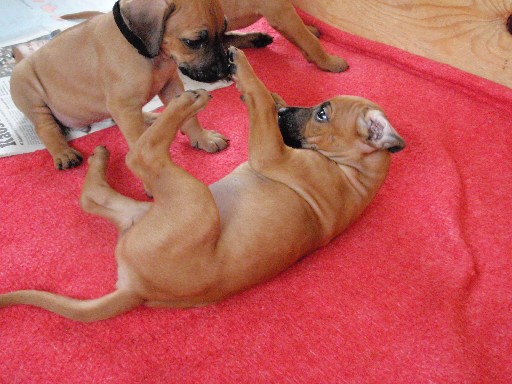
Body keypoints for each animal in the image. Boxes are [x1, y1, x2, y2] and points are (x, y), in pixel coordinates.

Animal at [0, 49, 404, 322]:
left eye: (322, 114)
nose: (286, 113)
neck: (353, 172)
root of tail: (136, 289)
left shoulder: (270, 154)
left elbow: (259, 99)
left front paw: (245, 71)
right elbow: (263, 100)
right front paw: (267, 95)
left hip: (191, 200)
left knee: (142, 156)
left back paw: (186, 101)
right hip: (149, 210)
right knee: (92, 196)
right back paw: (102, 155)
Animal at [9, 0, 230, 170]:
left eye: (224, 30)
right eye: (193, 42)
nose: (224, 72)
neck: (144, 51)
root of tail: (20, 61)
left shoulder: (171, 86)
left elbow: (191, 117)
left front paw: (203, 138)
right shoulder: (124, 107)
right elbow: (137, 140)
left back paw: (151, 117)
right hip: (30, 95)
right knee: (46, 128)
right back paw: (63, 152)